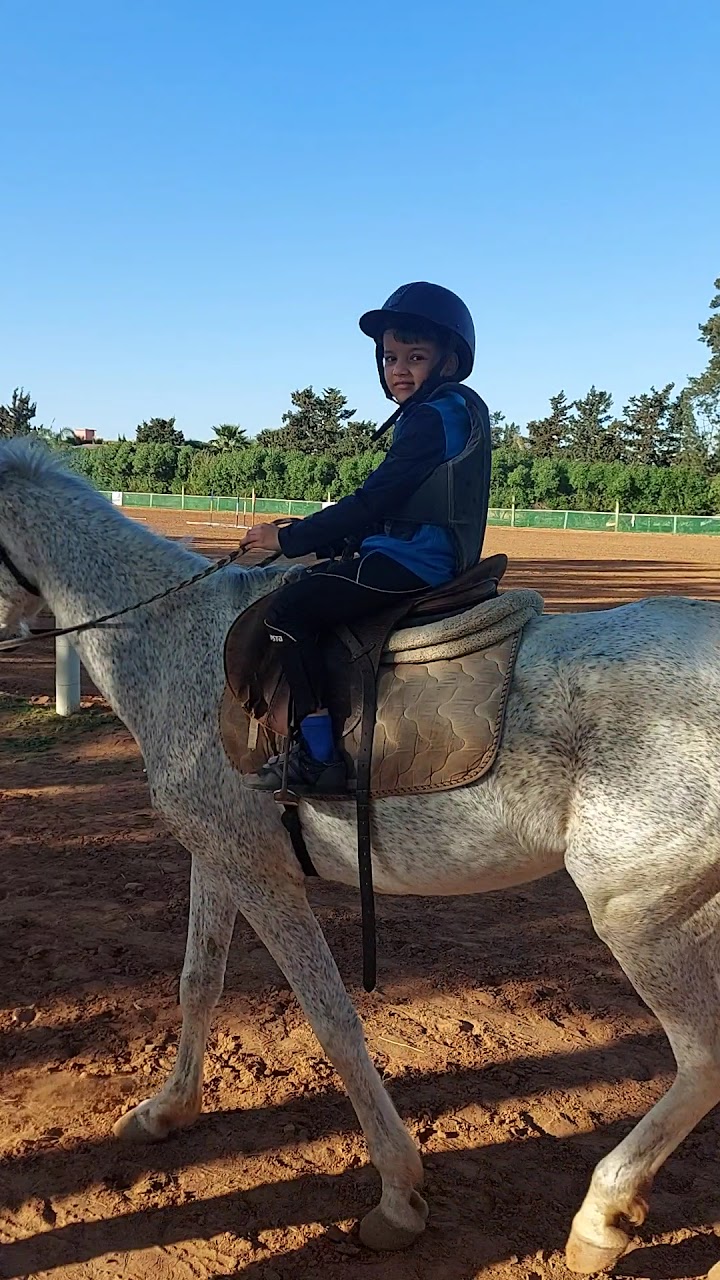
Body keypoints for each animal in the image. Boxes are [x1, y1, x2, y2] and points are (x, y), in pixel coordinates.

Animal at [2, 436, 720, 1274]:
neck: (171, 639)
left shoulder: (264, 878)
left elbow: (333, 1021)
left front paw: (399, 1194)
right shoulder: (218, 857)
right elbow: (197, 983)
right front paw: (168, 1111)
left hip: (641, 920)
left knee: (702, 1057)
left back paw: (601, 1217)